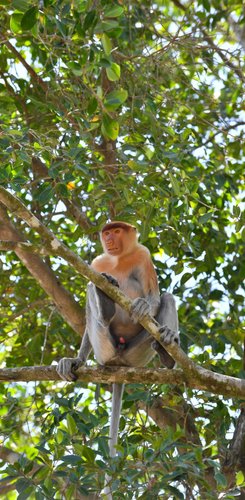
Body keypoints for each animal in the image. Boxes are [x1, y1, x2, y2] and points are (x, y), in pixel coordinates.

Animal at [57, 222, 180, 496]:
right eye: (107, 232)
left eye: (117, 231)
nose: (110, 239)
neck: (119, 258)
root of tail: (119, 364)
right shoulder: (97, 263)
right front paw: (75, 360)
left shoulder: (143, 255)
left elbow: (153, 296)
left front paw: (144, 306)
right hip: (104, 348)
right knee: (92, 295)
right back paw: (104, 302)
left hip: (138, 353)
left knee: (167, 298)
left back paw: (167, 351)